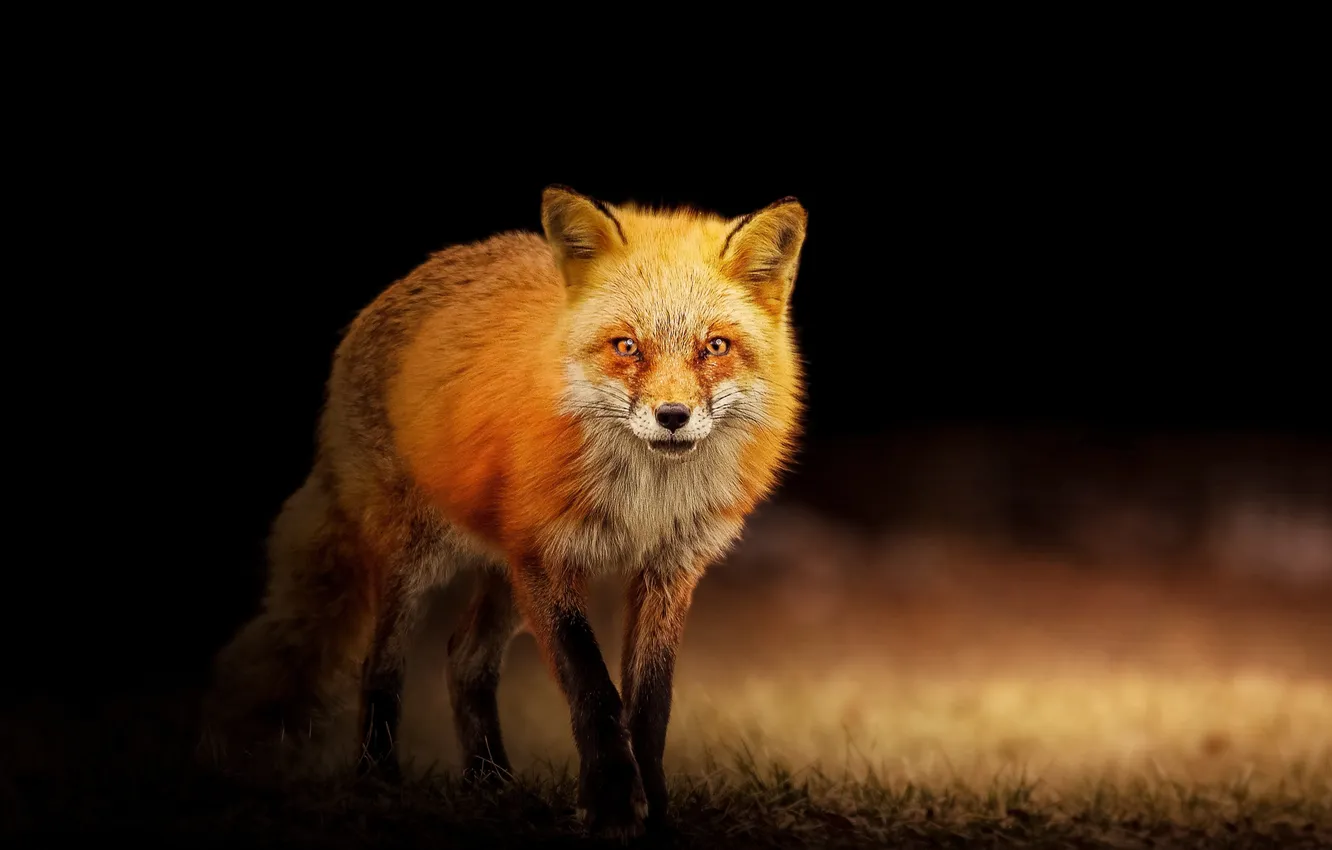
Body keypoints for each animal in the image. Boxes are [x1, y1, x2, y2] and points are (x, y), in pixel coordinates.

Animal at [202, 185, 807, 837]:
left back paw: (490, 784)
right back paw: (377, 781)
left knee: (463, 659)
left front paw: (656, 812)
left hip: (505, 575)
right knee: (379, 665)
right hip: (420, 559)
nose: (673, 416)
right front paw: (613, 806)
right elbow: (595, 692)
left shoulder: (667, 571)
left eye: (714, 347)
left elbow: (649, 706)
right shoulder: (548, 557)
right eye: (627, 347)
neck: (644, 498)